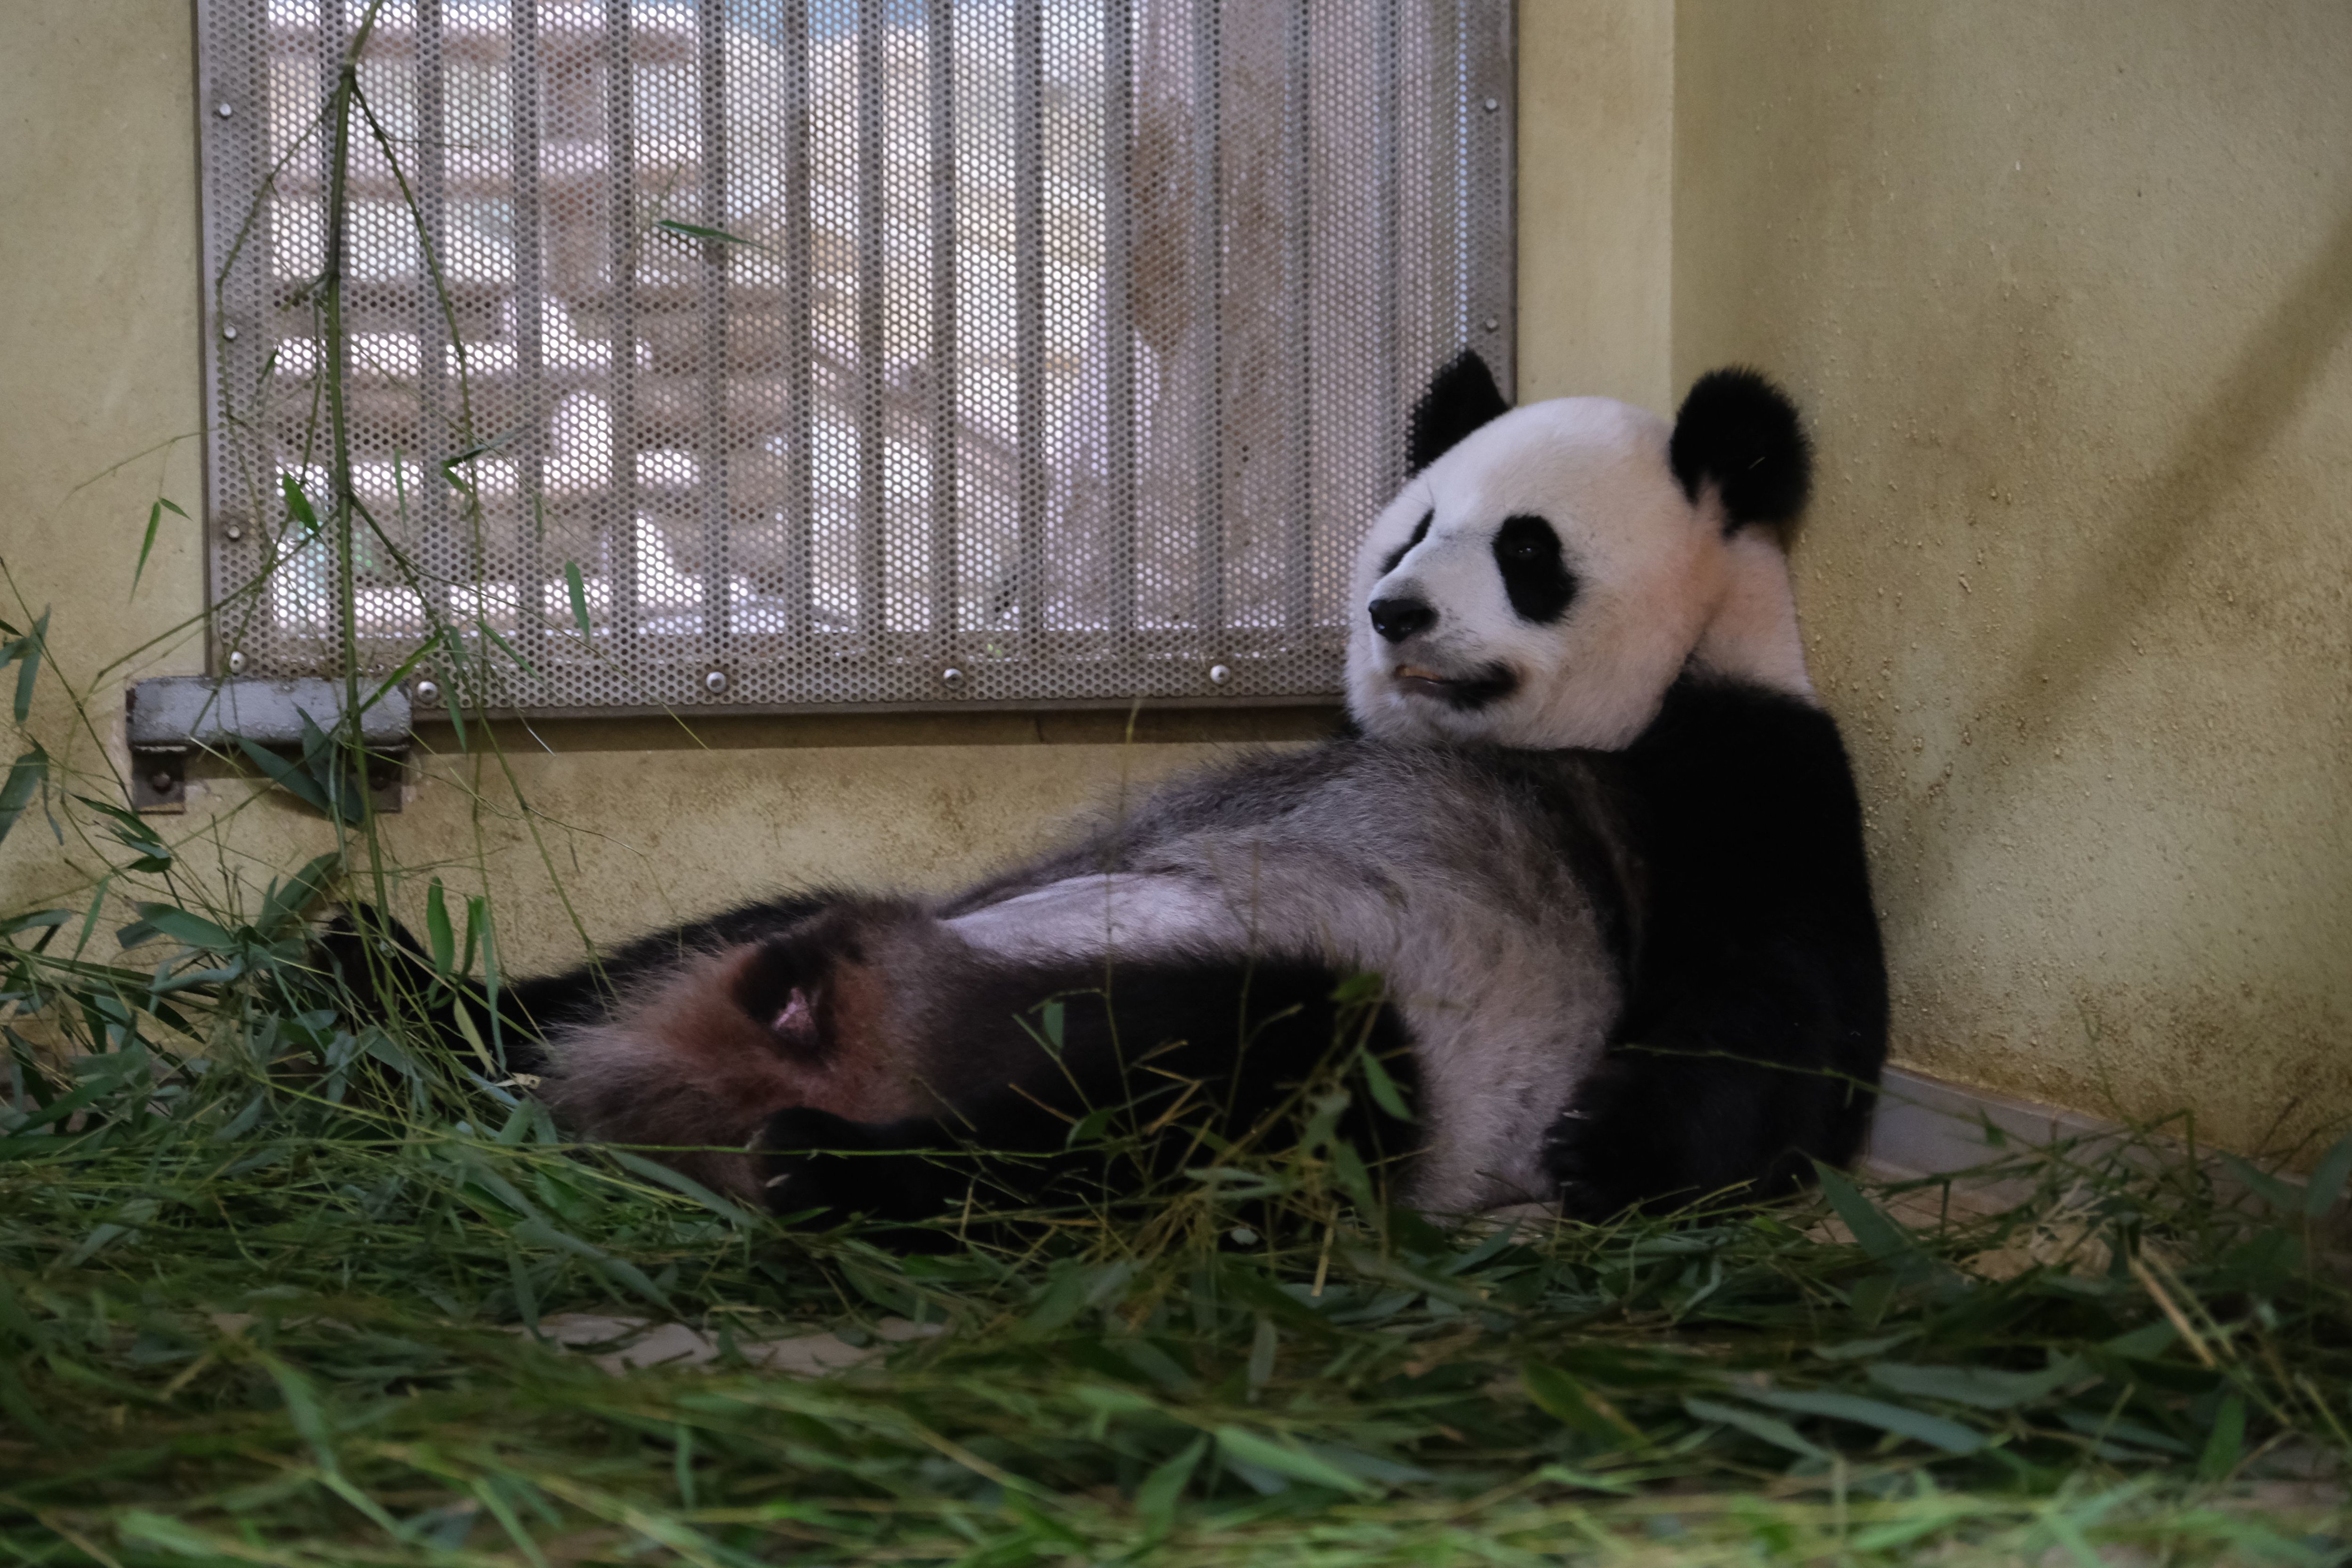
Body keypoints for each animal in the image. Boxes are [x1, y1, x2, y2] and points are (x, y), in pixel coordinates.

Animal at [358, 355, 1882, 1222]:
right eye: (1410, 527)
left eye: (1525, 551)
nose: (1392, 612)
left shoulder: (1744, 772)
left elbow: (1785, 1042)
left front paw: (1599, 1154)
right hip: (872, 918)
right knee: (664, 950)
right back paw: (384, 988)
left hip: (1347, 1030)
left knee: (1220, 1088)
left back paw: (845, 1163)